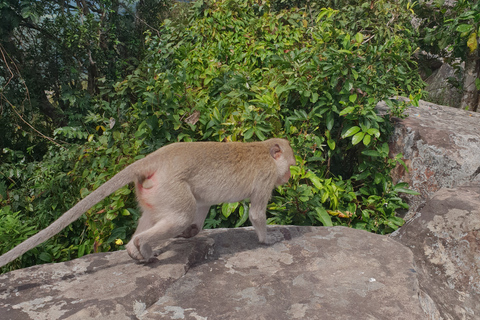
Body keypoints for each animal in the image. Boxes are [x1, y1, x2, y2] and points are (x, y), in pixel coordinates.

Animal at [0, 139, 296, 266]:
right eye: (291, 165)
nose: (290, 177)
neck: (265, 151)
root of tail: (154, 158)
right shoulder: (265, 178)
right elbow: (256, 214)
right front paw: (267, 238)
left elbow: (202, 203)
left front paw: (192, 232)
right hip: (169, 187)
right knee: (180, 214)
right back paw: (143, 245)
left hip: (154, 191)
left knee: (161, 214)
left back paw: (134, 249)